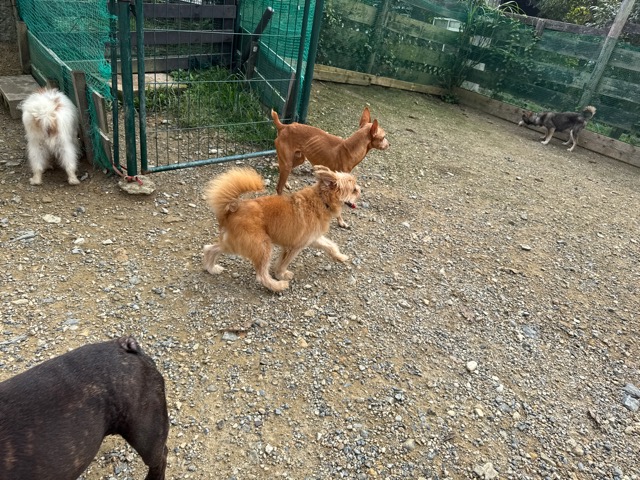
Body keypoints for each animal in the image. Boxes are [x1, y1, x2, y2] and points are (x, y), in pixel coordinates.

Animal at [202, 165, 361, 292]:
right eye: (353, 190)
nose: (360, 191)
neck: (322, 200)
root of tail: (231, 210)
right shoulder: (295, 246)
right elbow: (283, 263)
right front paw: (281, 275)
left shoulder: (312, 239)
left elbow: (330, 246)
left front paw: (340, 257)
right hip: (262, 246)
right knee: (261, 275)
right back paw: (277, 286)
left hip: (234, 243)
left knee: (210, 248)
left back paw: (211, 268)